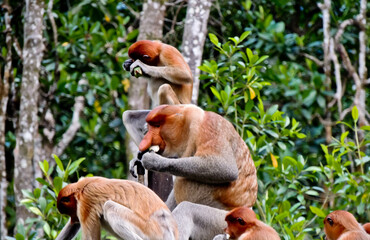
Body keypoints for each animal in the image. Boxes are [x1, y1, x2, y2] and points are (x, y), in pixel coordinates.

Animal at [127, 105, 258, 240]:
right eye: (151, 126)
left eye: (157, 126)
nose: (145, 139)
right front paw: (137, 159)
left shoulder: (209, 127)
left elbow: (226, 168)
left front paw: (153, 161)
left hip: (222, 222)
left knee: (187, 209)